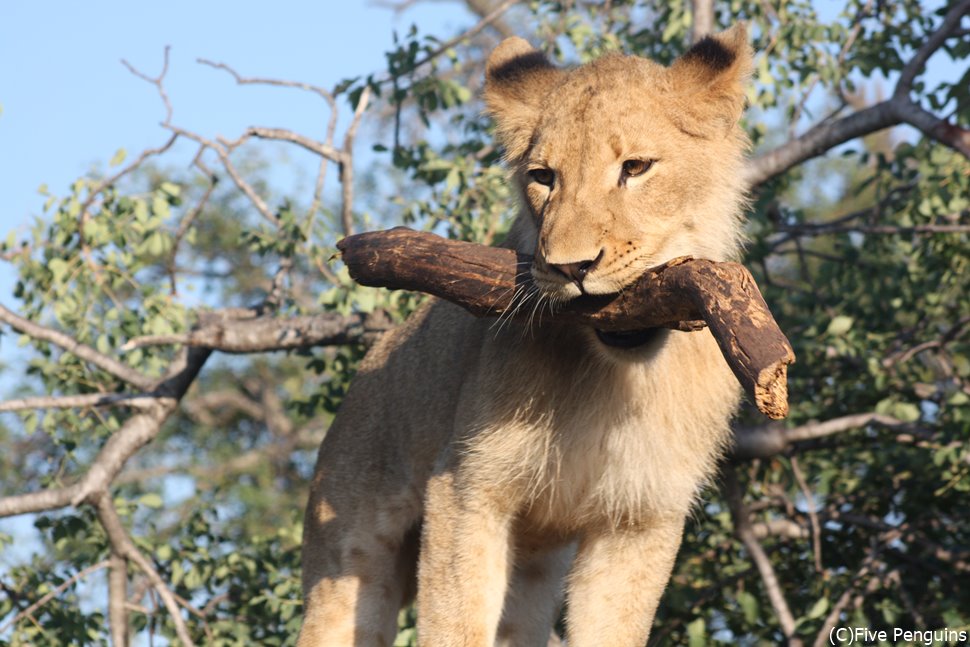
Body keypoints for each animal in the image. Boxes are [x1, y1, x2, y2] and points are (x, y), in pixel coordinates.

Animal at [298, 25, 752, 647]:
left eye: (635, 167)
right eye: (543, 177)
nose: (571, 267)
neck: (615, 380)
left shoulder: (641, 519)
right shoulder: (467, 486)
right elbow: (455, 623)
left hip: (535, 565)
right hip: (349, 556)